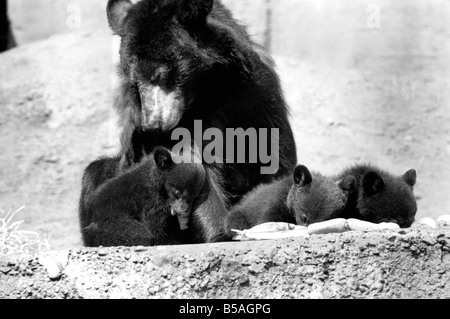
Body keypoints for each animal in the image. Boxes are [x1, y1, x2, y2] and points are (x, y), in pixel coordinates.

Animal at [79, 0, 298, 248]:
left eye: (161, 76)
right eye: (135, 82)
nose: (152, 125)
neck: (205, 93)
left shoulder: (257, 99)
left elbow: (272, 156)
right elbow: (197, 172)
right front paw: (219, 232)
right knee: (96, 173)